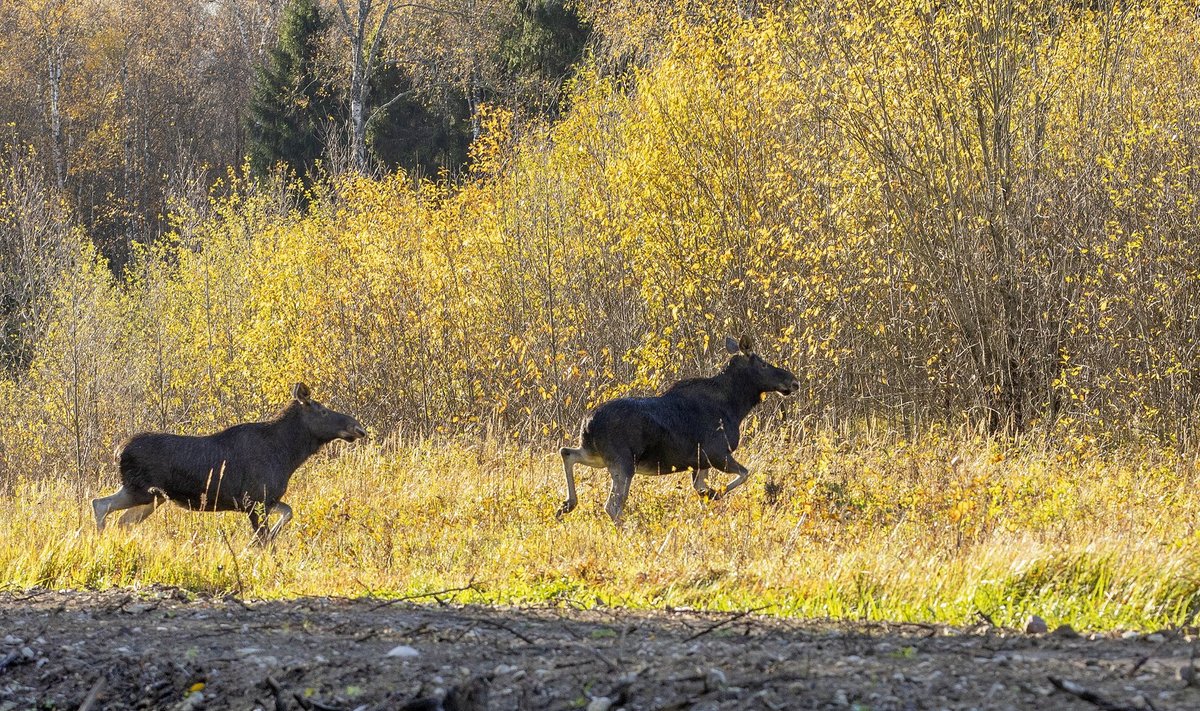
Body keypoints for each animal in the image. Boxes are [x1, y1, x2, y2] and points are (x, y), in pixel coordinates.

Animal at [92, 384, 364, 545]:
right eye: (323, 411)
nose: (356, 426)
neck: (289, 455)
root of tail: (117, 451)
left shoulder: (266, 500)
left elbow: (288, 513)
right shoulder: (255, 500)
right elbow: (265, 538)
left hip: (153, 498)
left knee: (122, 520)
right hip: (140, 491)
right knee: (100, 505)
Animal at [559, 333, 801, 521]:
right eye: (763, 364)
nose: (793, 381)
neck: (736, 407)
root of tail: (588, 423)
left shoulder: (701, 461)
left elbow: (701, 488)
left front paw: (709, 495)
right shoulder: (717, 453)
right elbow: (744, 473)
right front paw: (716, 493)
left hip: (596, 455)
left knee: (567, 452)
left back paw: (567, 504)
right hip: (623, 461)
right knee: (613, 506)